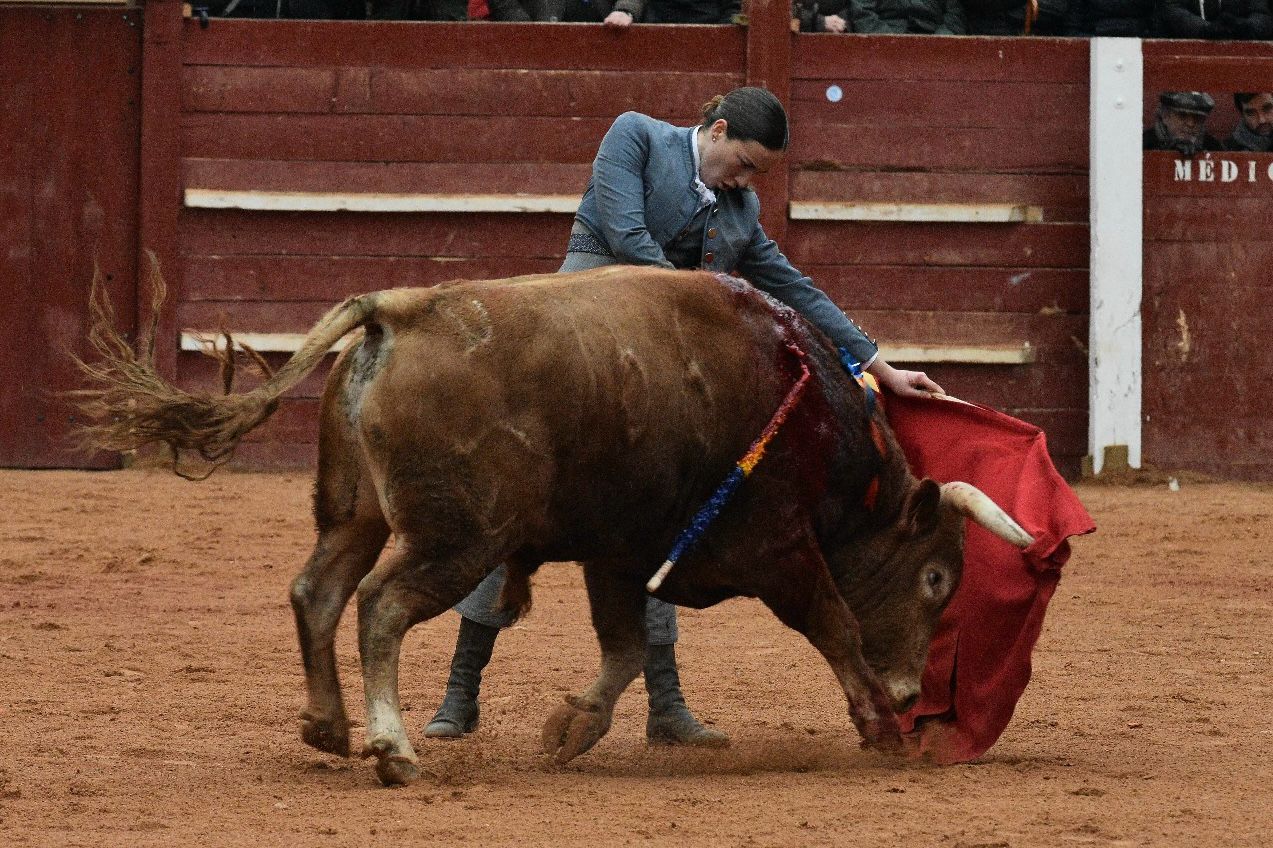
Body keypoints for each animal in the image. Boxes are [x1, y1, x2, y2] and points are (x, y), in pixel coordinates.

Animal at [72, 266, 1033, 784]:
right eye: (936, 577)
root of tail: (401, 308)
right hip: (458, 537)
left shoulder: (621, 554)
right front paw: (875, 726)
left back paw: (328, 725)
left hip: (355, 514)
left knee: (317, 592)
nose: (911, 694)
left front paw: (571, 728)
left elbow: (625, 647)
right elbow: (832, 623)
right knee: (380, 607)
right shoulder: (777, 549)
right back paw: (393, 747)